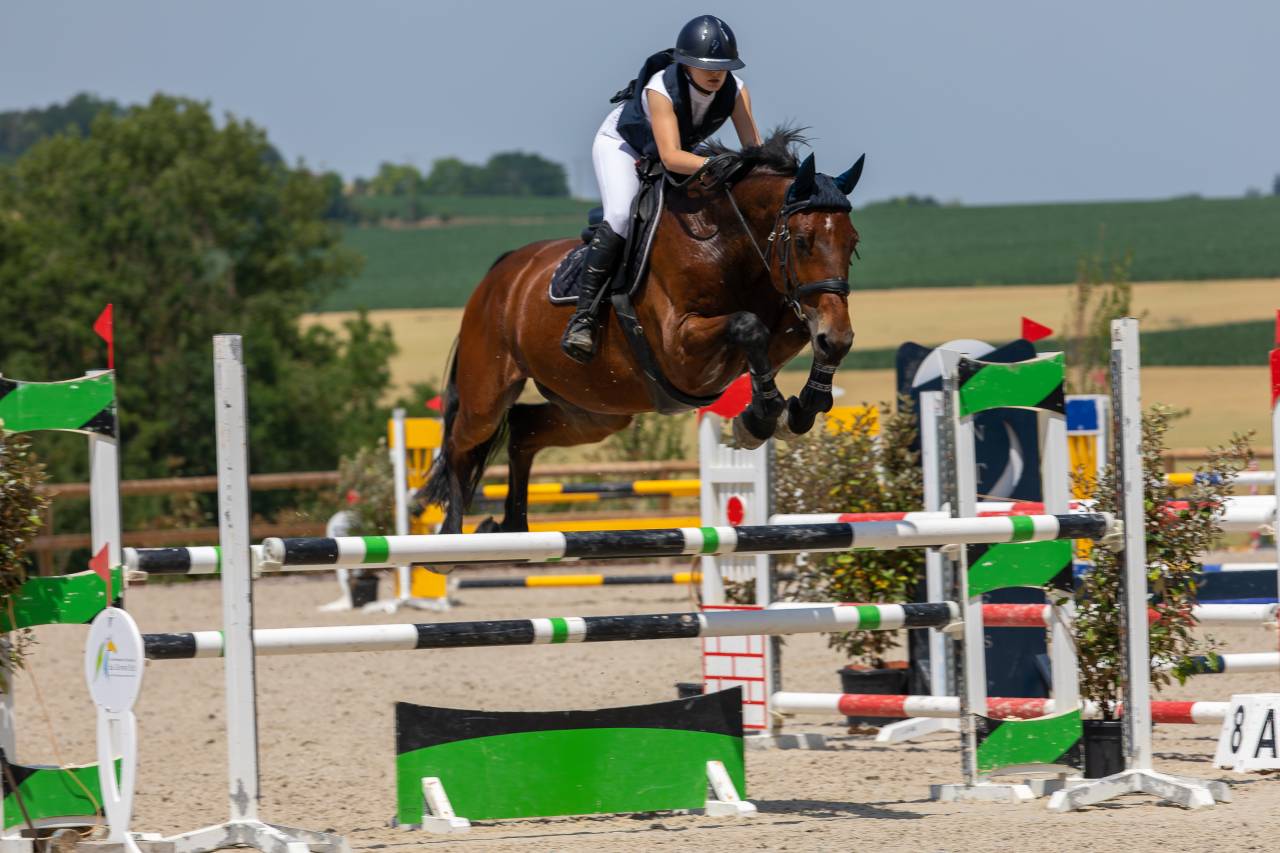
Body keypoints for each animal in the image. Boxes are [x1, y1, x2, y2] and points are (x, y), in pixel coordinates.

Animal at [422, 128, 864, 536]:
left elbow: (801, 341)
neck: (724, 242)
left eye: (853, 243)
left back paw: (510, 525)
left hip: (595, 409)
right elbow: (747, 326)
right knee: (460, 444)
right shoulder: (680, 351)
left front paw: (798, 409)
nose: (838, 333)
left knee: (522, 429)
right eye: (803, 241)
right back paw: (452, 537)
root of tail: (501, 273)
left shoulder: (790, 318)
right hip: (487, 395)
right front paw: (758, 420)